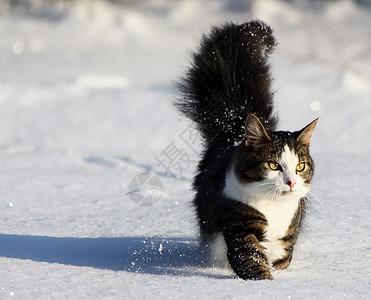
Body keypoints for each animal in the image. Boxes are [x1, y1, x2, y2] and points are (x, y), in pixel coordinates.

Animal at [176, 19, 318, 280]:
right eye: (273, 165)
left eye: (300, 166)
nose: (291, 182)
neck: (275, 208)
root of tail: (236, 125)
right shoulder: (240, 222)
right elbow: (250, 259)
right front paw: (264, 282)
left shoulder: (289, 230)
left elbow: (282, 257)